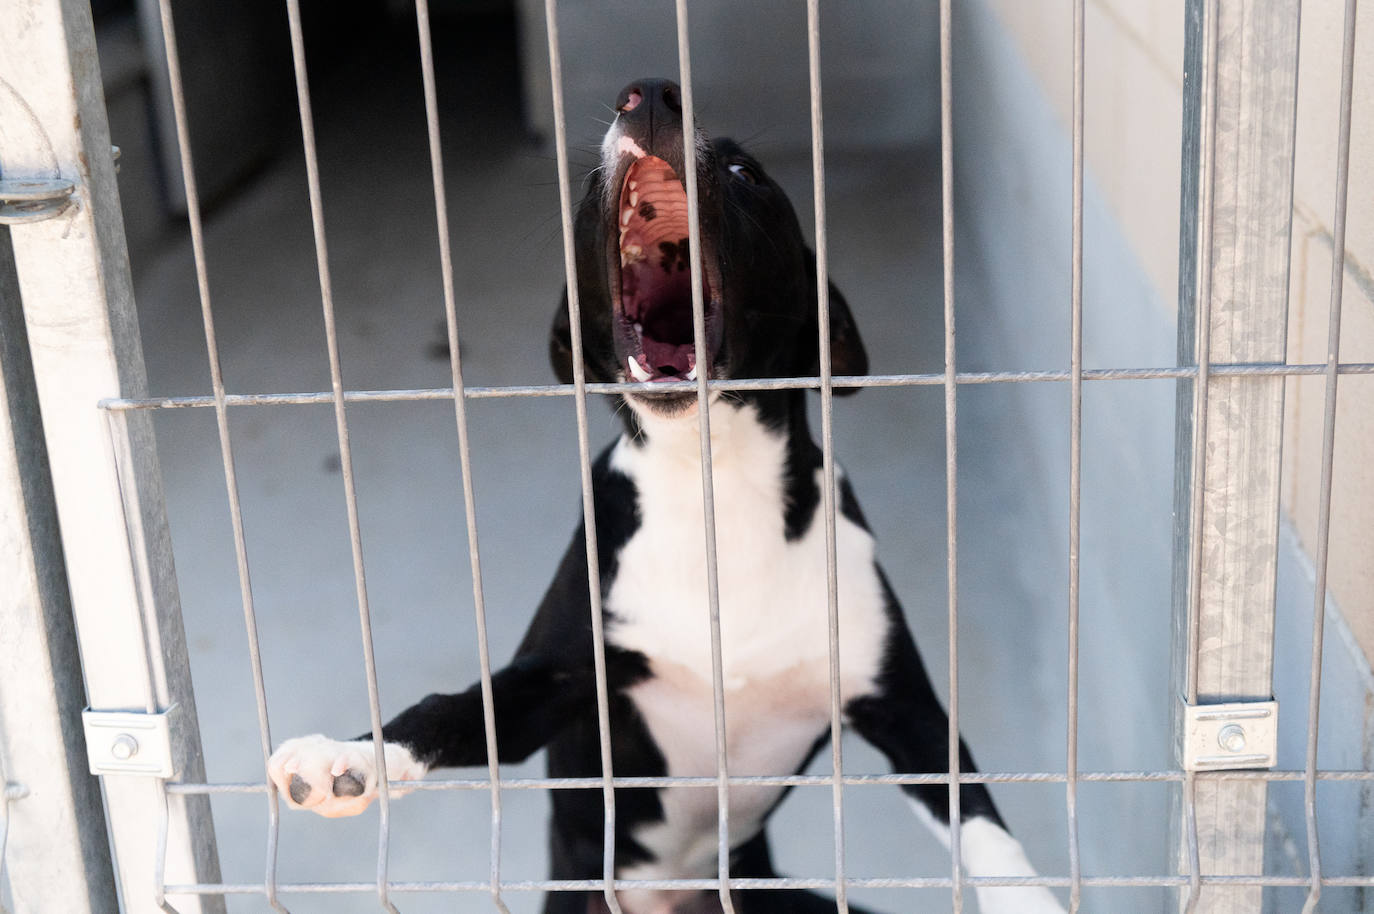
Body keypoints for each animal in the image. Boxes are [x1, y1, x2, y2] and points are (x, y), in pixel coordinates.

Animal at [267, 78, 1060, 912]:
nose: (648, 95)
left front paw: (1030, 898)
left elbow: (980, 813)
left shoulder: (899, 703)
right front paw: (347, 757)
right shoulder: (555, 685)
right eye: (588, 187)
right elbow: (450, 709)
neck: (712, 480)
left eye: (746, 173)